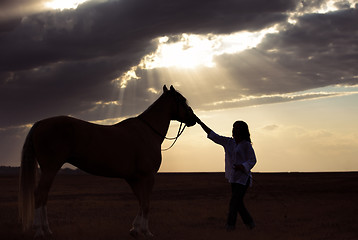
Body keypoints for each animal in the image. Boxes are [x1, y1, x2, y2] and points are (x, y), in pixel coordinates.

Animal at [18, 84, 197, 238]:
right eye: (182, 100)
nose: (193, 119)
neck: (147, 132)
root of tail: (40, 123)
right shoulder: (148, 176)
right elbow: (146, 203)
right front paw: (146, 231)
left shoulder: (133, 178)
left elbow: (141, 200)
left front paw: (135, 229)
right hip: (50, 168)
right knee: (39, 194)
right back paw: (39, 231)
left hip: (49, 169)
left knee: (44, 195)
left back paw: (47, 230)